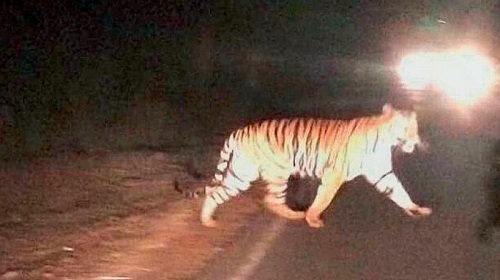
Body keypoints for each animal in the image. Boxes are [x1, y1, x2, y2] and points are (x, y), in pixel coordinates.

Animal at [198, 104, 430, 229]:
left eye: (416, 127)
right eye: (407, 128)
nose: (416, 140)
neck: (386, 141)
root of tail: (239, 131)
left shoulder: (382, 173)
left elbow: (399, 191)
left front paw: (415, 209)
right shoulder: (334, 174)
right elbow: (323, 199)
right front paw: (313, 218)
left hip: (241, 174)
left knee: (215, 192)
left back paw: (207, 220)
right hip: (277, 173)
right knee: (271, 200)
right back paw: (298, 215)